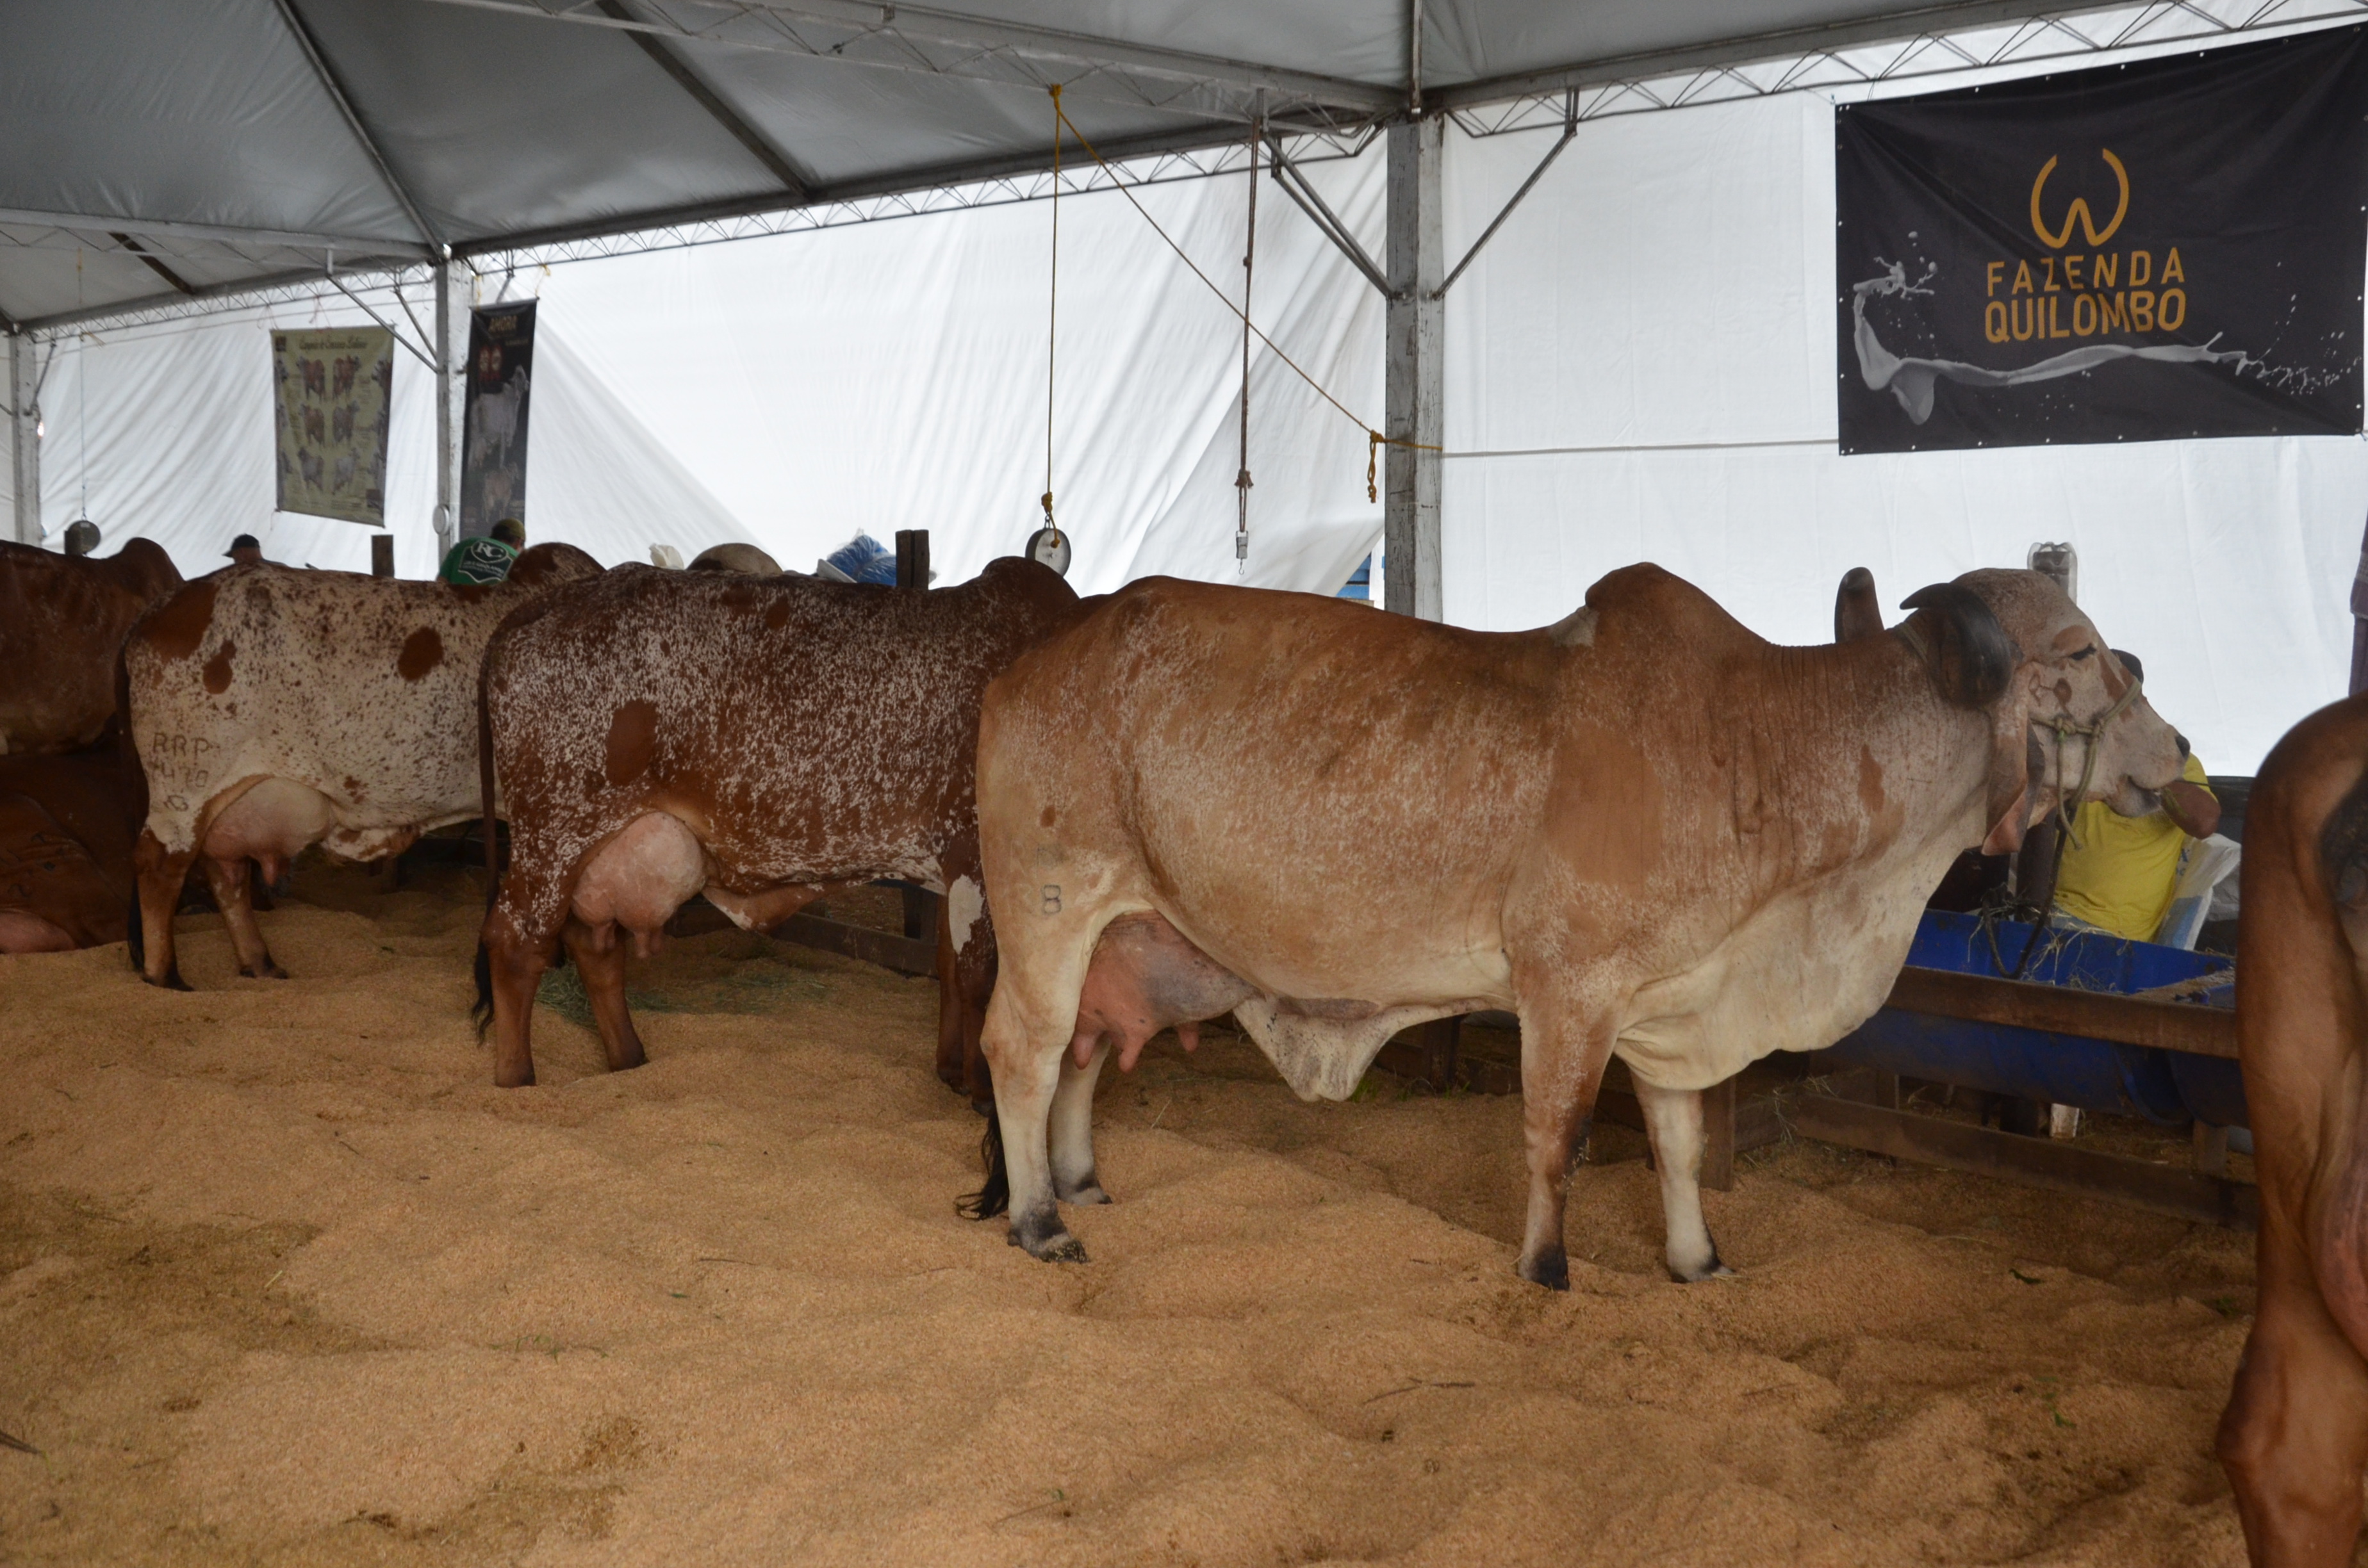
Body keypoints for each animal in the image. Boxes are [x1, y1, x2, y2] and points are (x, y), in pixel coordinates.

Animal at [119, 540, 601, 985]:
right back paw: (165, 974)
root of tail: (156, 613)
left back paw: (259, 962)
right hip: (187, 780)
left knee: (226, 870)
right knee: (159, 863)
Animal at [471, 561, 1084, 1094]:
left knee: (593, 944)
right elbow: (982, 977)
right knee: (515, 941)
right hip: (553, 834)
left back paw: (628, 1057)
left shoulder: (951, 867)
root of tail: (550, 602)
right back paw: (516, 1079)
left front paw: (953, 1072)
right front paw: (982, 1092)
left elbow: (951, 968)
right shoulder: (976, 853)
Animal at [957, 566, 2178, 1288]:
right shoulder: (1566, 990)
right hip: (1048, 907)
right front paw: (1547, 1269)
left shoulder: (1670, 1004)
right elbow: (1561, 1137)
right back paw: (1038, 1219)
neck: (1756, 745)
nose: (2173, 750)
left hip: (1128, 934)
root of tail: (1030, 661)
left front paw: (1696, 1261)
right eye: (2079, 649)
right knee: (1022, 1051)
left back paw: (1076, 1178)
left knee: (1083, 1054)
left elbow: (1678, 1143)